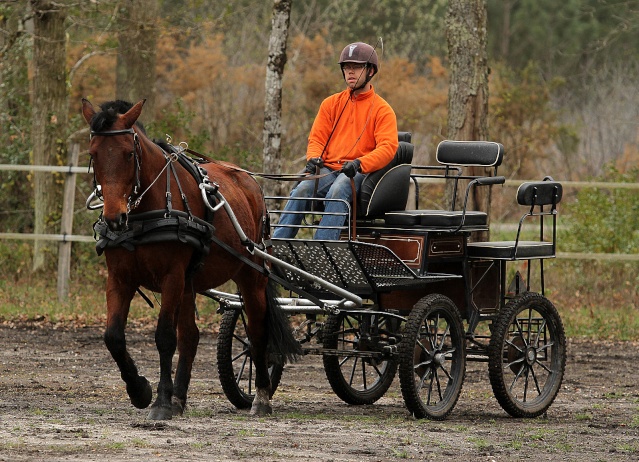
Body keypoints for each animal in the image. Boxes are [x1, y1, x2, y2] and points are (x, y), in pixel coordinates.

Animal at [80, 99, 300, 420]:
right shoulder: (120, 278)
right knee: (190, 336)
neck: (146, 214)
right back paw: (179, 398)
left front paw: (159, 403)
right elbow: (113, 337)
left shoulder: (171, 277)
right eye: (93, 154)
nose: (114, 218)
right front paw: (140, 391)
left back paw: (260, 397)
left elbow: (164, 337)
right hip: (190, 283)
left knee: (258, 332)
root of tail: (249, 181)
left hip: (251, 275)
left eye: (129, 153)